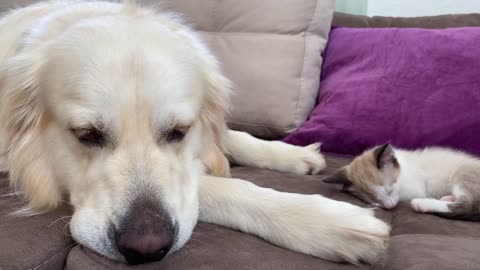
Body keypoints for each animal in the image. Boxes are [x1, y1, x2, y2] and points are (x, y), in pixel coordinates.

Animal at [0, 0, 390, 266]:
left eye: (179, 131)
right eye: (86, 134)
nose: (146, 248)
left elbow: (229, 136)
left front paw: (290, 154)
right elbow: (218, 186)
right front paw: (326, 221)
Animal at [322, 144, 480, 220]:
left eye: (389, 190)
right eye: (374, 199)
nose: (388, 206)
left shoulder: (416, 188)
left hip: (463, 173)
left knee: (468, 205)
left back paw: (422, 204)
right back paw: (447, 197)